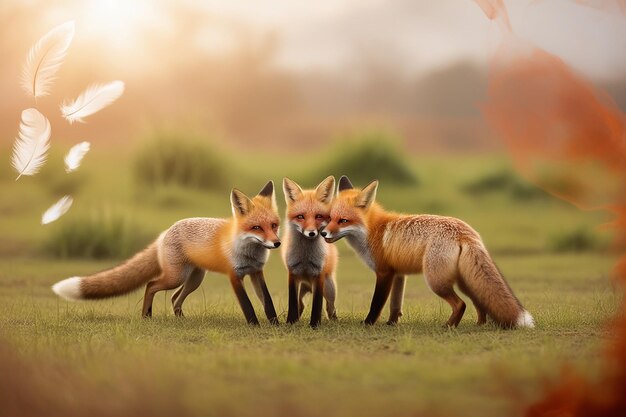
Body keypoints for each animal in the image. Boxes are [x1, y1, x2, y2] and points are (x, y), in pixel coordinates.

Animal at [51, 180, 280, 324]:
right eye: (256, 228)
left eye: (274, 225)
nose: (277, 243)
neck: (250, 253)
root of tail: (165, 232)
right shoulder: (235, 276)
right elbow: (248, 306)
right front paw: (255, 326)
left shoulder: (256, 272)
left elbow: (268, 302)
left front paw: (276, 326)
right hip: (176, 277)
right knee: (151, 286)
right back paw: (146, 316)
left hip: (194, 278)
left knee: (174, 298)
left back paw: (180, 319)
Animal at [282, 174, 336, 326]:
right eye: (300, 216)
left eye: (318, 216)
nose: (311, 233)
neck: (305, 257)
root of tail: (308, 286)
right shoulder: (292, 273)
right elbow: (292, 304)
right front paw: (290, 322)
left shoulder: (319, 275)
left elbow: (317, 305)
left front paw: (314, 325)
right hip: (302, 289)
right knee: (300, 304)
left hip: (330, 290)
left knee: (330, 307)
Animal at [322, 175, 532, 328]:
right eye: (329, 218)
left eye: (343, 221)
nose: (323, 233)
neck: (373, 230)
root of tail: (465, 232)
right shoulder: (399, 274)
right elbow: (395, 304)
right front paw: (392, 323)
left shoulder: (384, 273)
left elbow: (377, 303)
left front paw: (368, 323)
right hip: (465, 280)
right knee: (479, 301)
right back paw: (479, 325)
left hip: (436, 281)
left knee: (461, 304)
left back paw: (449, 326)